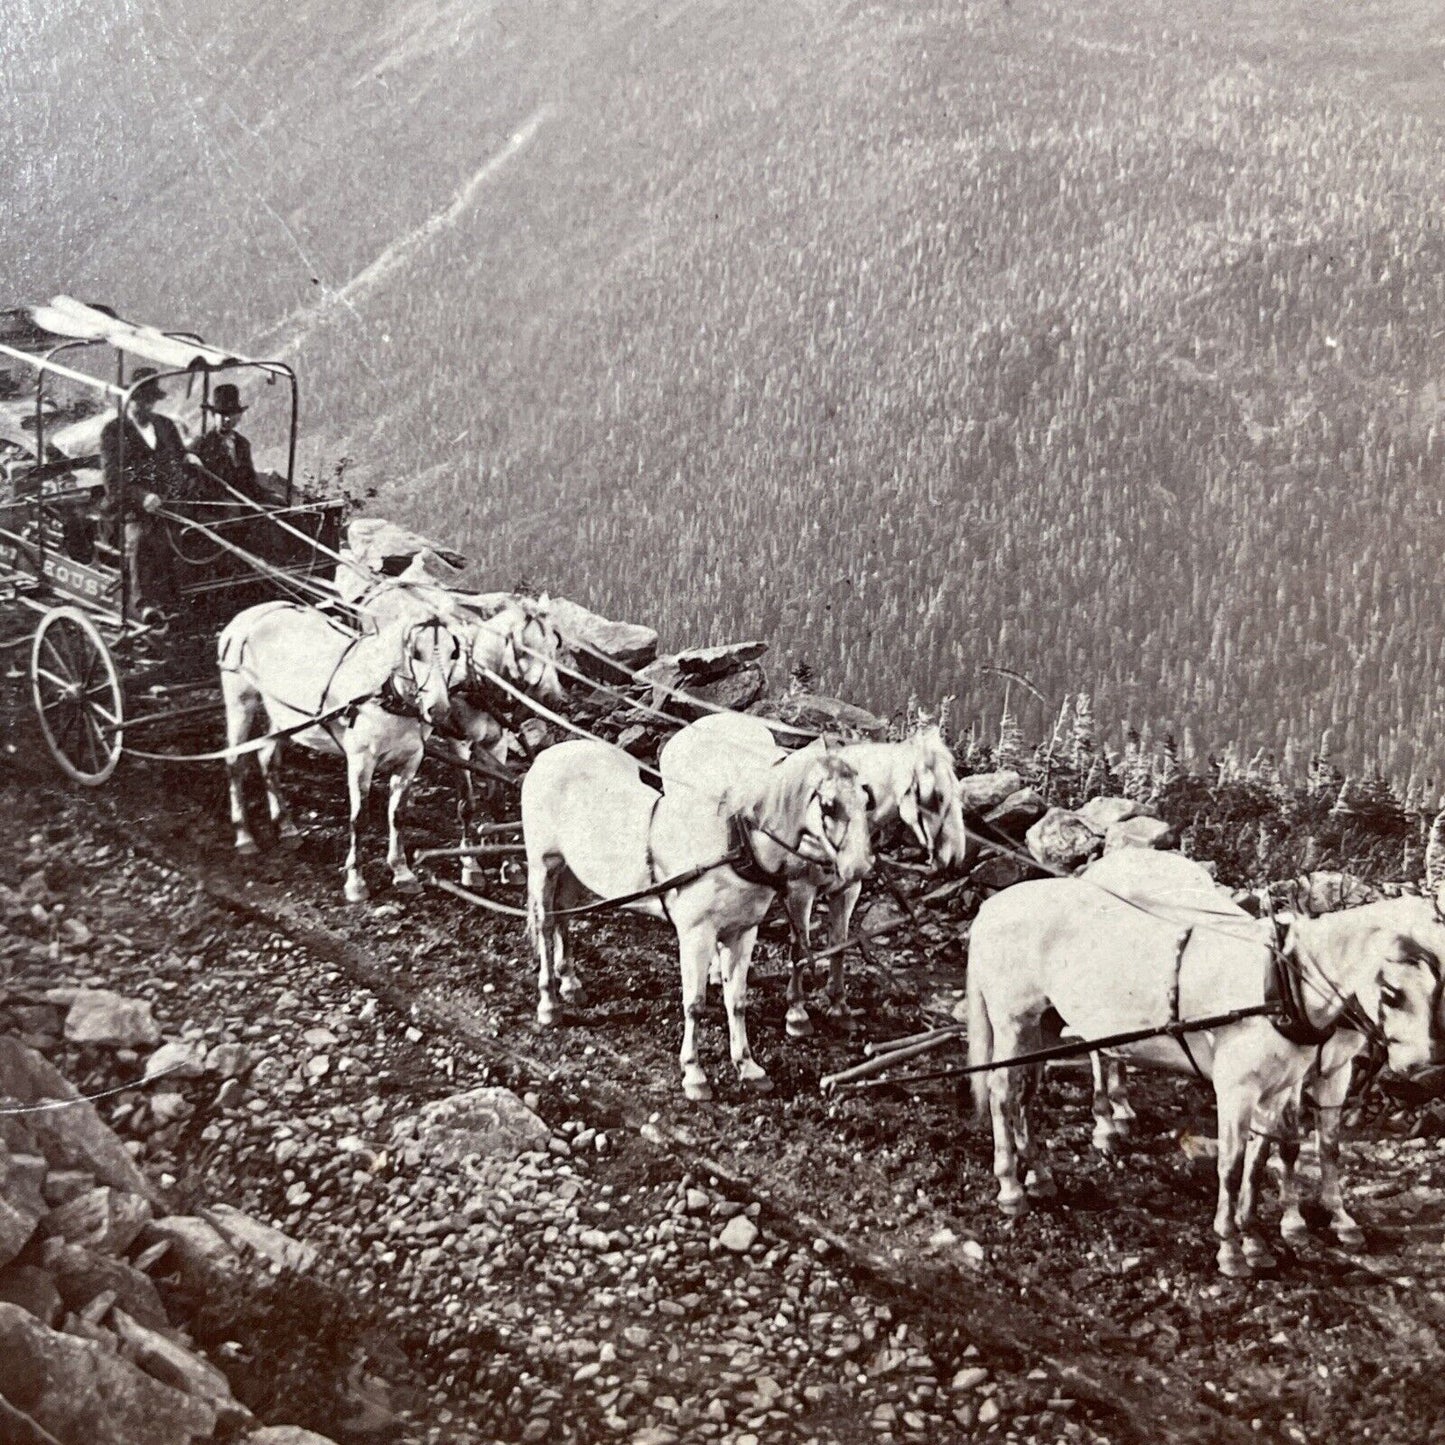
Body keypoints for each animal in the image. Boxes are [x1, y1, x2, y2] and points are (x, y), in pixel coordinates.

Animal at [216, 601, 465, 901]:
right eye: (416, 653)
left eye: (454, 653)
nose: (438, 710)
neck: (383, 694)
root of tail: (250, 614)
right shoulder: (360, 761)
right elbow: (359, 819)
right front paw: (355, 882)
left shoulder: (410, 760)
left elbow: (397, 815)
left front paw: (402, 872)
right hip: (241, 703)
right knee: (235, 762)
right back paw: (244, 836)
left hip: (283, 716)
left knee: (268, 761)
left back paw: (286, 828)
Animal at [525, 739, 872, 1098]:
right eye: (829, 805)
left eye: (866, 800)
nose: (858, 869)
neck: (735, 846)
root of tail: (552, 753)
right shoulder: (696, 935)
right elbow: (694, 1003)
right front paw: (694, 1074)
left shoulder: (742, 932)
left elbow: (737, 1000)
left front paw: (748, 1067)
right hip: (543, 866)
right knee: (547, 925)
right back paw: (549, 1003)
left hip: (572, 870)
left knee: (564, 917)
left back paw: (570, 983)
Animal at [661, 713, 965, 1034]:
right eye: (936, 796)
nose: (956, 858)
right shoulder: (799, 890)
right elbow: (800, 949)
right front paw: (797, 1013)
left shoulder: (848, 888)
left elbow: (838, 944)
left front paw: (839, 1006)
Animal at [965, 843, 1445, 1277]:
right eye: (1391, 992)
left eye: (1437, 986)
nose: (1424, 1070)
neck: (1283, 985)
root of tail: (993, 906)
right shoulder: (1238, 1091)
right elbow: (1234, 1167)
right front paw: (1234, 1248)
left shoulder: (1289, 1085)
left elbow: (1273, 1156)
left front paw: (1261, 1240)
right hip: (1012, 1022)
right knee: (1003, 1093)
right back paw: (1014, 1184)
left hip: (1045, 1023)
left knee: (1027, 1093)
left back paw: (1042, 1172)